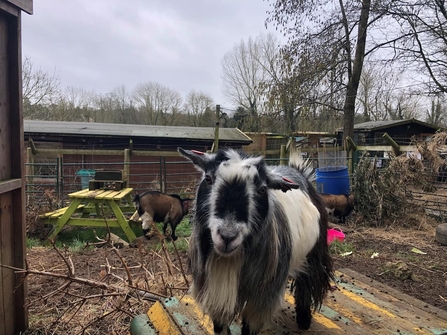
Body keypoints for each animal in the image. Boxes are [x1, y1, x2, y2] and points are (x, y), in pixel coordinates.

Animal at [178, 148, 332, 335]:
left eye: (262, 189)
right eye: (208, 179)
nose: (228, 236)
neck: (229, 261)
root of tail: (298, 171)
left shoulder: (260, 299)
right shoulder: (215, 289)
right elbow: (220, 325)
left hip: (314, 252)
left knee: (307, 280)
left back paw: (304, 319)